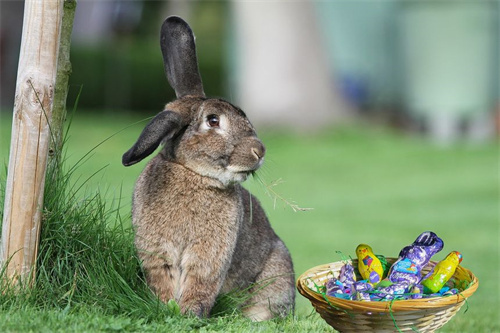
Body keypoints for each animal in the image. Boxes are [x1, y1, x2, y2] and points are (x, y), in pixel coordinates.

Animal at [121, 16, 294, 322]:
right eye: (213, 121)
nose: (259, 151)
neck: (192, 173)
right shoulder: (157, 252)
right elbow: (163, 279)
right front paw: (165, 308)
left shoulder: (208, 256)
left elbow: (200, 282)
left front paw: (190, 314)